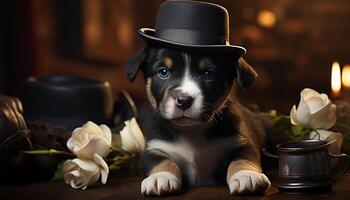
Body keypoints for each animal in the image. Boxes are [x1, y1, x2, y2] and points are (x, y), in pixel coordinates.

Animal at [125, 45, 270, 195]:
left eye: (208, 74)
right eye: (163, 72)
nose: (183, 100)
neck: (191, 130)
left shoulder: (241, 142)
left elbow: (241, 158)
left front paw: (247, 175)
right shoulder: (154, 147)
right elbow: (159, 161)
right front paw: (160, 177)